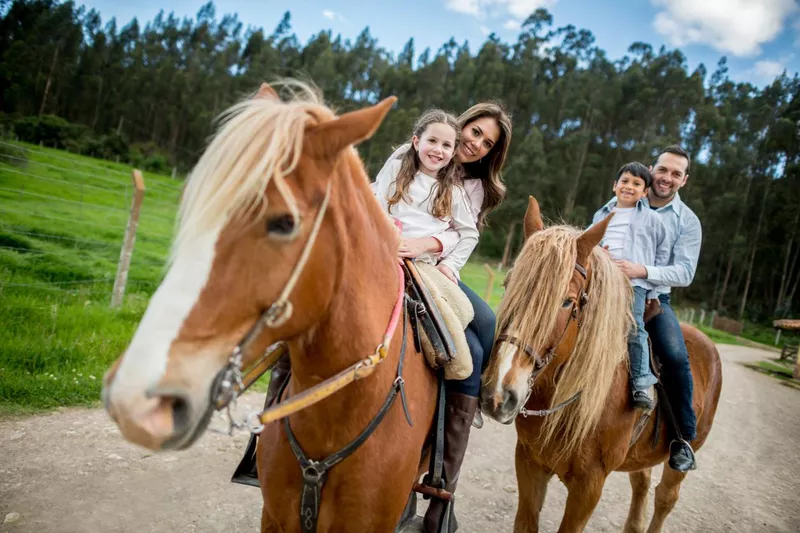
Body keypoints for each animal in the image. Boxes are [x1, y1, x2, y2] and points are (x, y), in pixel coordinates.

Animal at [482, 196, 724, 532]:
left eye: (567, 302)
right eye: (508, 285)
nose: (499, 394)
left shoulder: (589, 485)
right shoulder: (529, 464)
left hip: (682, 455)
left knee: (665, 497)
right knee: (641, 485)